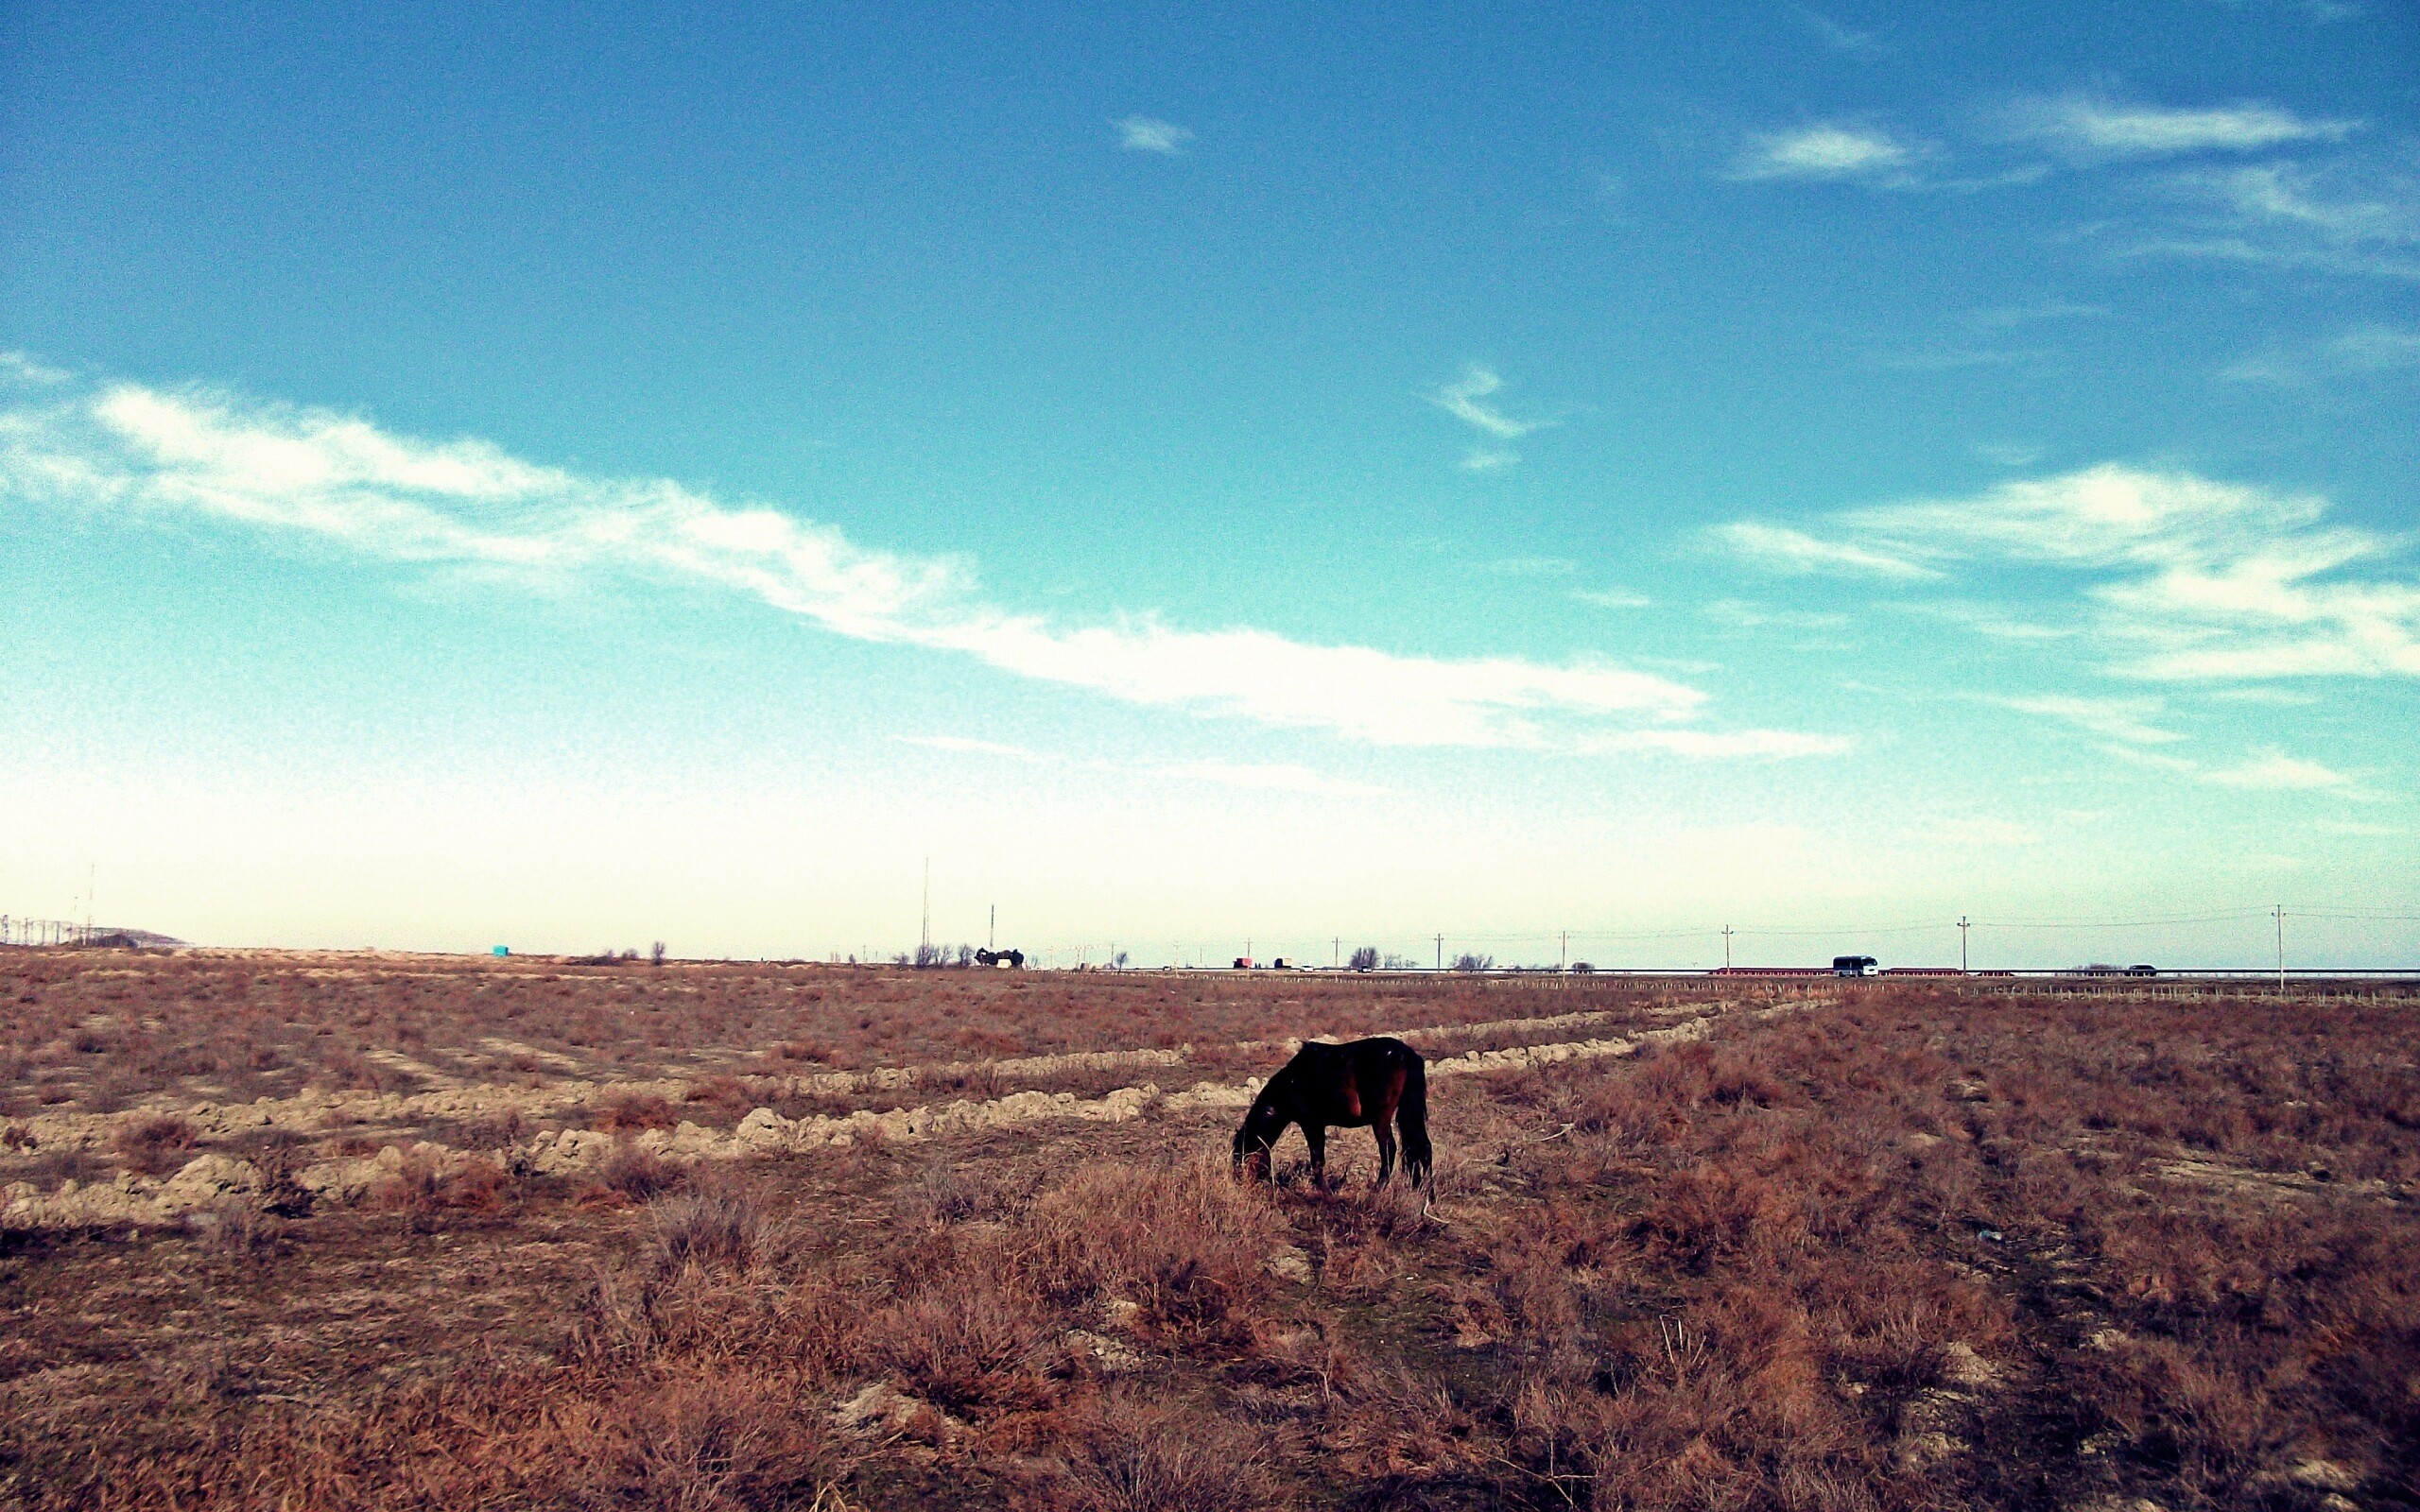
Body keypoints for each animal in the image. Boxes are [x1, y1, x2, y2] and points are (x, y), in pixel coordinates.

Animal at [1238, 1030, 1423, 1185]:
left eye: (1243, 1157)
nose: (1244, 1184)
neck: (1290, 1084)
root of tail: (1405, 1054)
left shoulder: (1312, 1124)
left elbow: (1317, 1160)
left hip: (1381, 1119)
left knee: (1389, 1148)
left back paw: (1379, 1188)